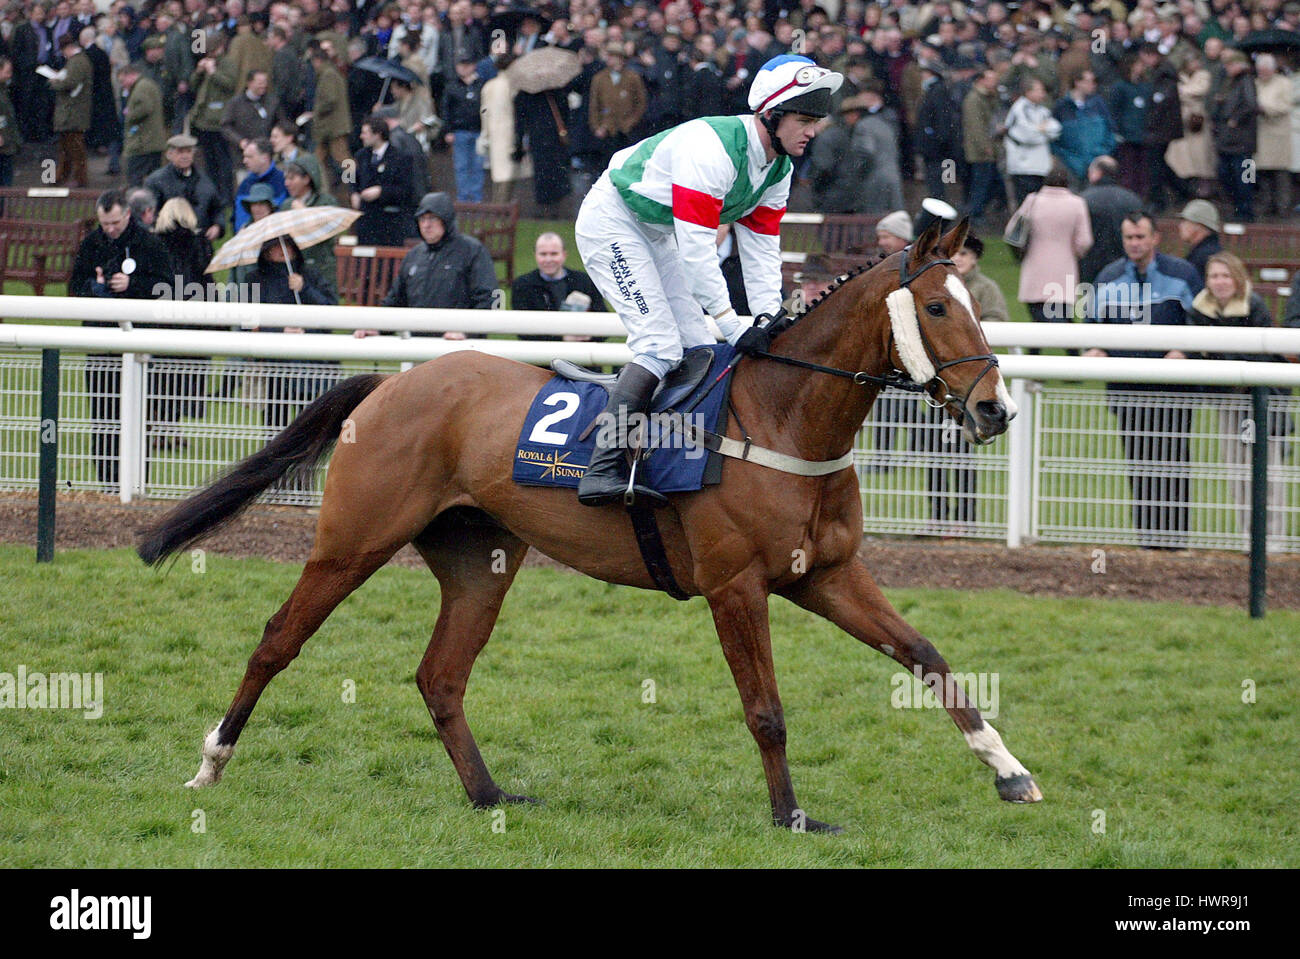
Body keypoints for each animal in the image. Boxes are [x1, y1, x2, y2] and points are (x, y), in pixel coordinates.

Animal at [137, 213, 1040, 826]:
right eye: (936, 307)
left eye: (974, 302)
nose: (995, 409)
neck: (781, 418)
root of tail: (392, 382)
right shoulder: (735, 586)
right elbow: (768, 709)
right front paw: (792, 816)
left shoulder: (825, 573)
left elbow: (927, 654)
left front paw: (1010, 770)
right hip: (351, 541)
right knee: (277, 639)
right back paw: (210, 763)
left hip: (479, 559)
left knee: (440, 676)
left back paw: (490, 794)